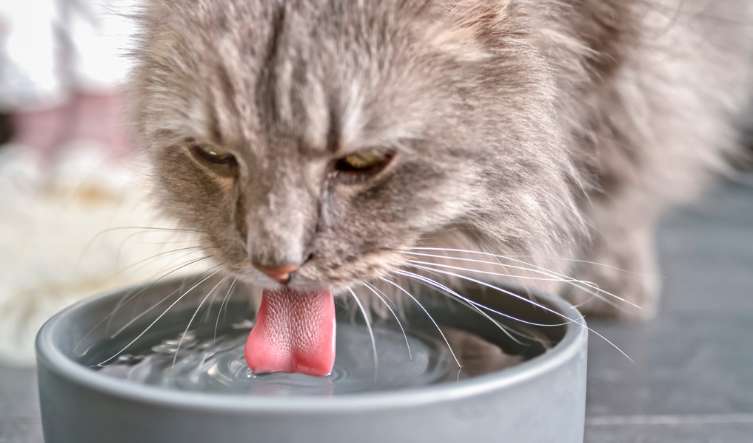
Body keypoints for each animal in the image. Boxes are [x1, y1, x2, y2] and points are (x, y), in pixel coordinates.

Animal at [128, 0, 752, 322]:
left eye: (364, 160)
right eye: (214, 156)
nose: (275, 270)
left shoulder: (657, 65)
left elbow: (627, 172)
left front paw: (607, 281)